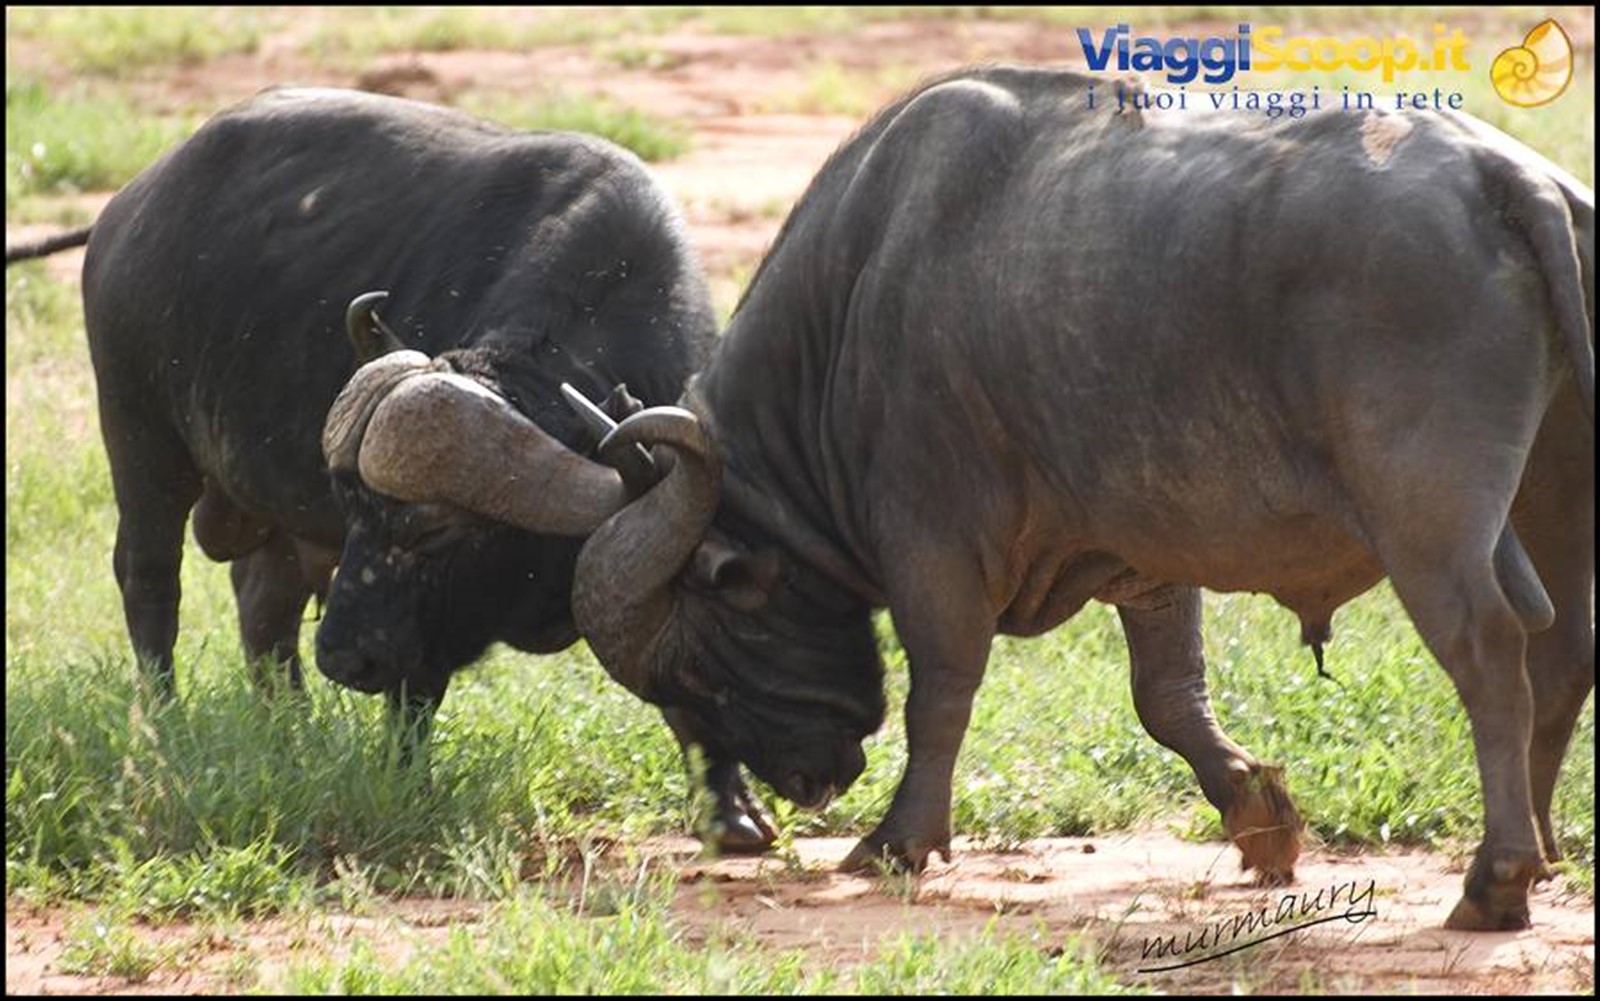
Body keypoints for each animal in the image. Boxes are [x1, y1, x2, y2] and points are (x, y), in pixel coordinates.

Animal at [71, 86, 772, 850]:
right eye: (354, 511)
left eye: (434, 530)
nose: (344, 659)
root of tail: (129, 209)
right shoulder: (417, 638)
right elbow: (415, 695)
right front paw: (407, 783)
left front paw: (729, 808)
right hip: (140, 439)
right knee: (149, 582)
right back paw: (165, 720)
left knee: (264, 609)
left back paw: (293, 732)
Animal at [407, 67, 1591, 931]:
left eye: (695, 664)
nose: (807, 784)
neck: (857, 296)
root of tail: (1511, 181)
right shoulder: (1145, 554)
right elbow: (1169, 697)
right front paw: (1257, 814)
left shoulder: (933, 541)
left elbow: (941, 687)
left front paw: (897, 836)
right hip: (1549, 494)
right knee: (1560, 648)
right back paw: (1535, 850)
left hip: (1429, 518)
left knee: (1492, 649)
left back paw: (1493, 879)